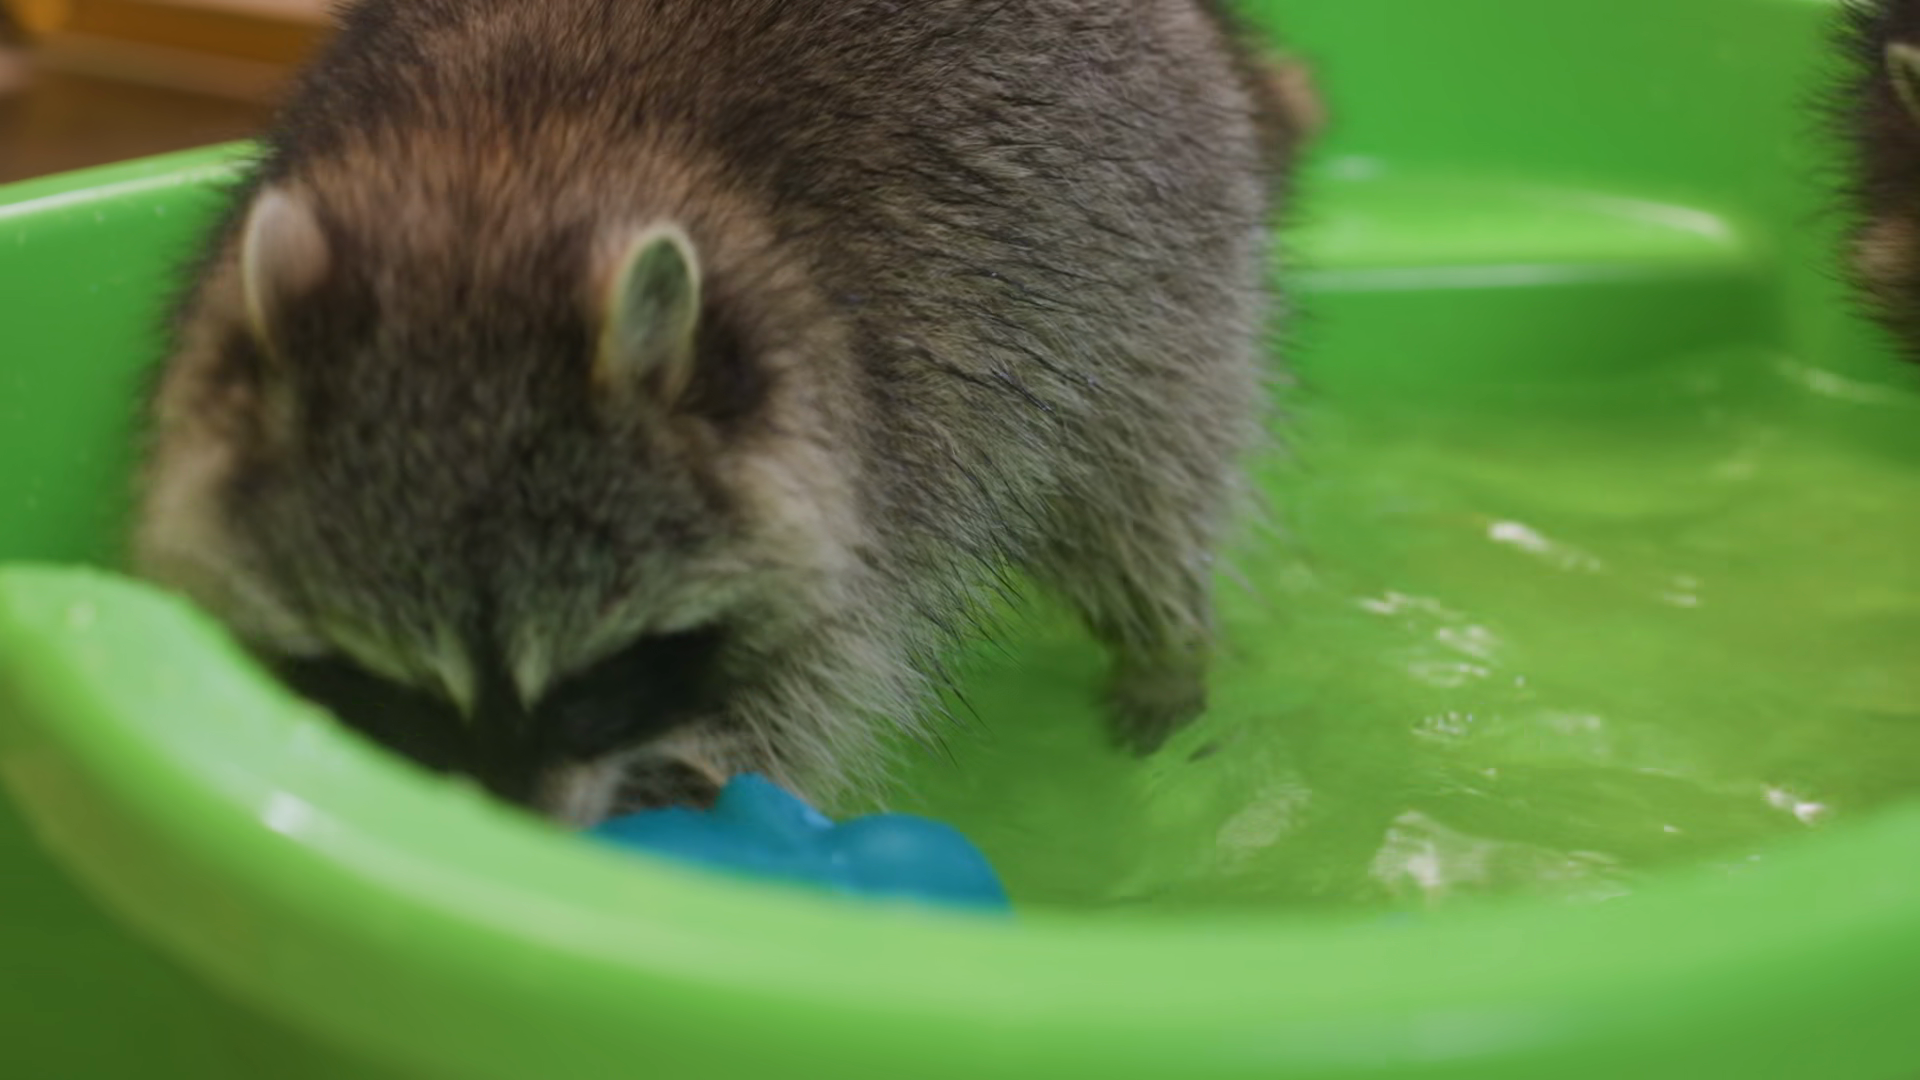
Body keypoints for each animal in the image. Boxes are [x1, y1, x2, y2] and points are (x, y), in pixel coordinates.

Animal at [134, 0, 1306, 823]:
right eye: (395, 686)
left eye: (602, 673)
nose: (519, 837)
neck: (497, 181)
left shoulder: (870, 447)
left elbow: (824, 673)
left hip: (1156, 251)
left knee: (1145, 483)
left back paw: (1166, 644)